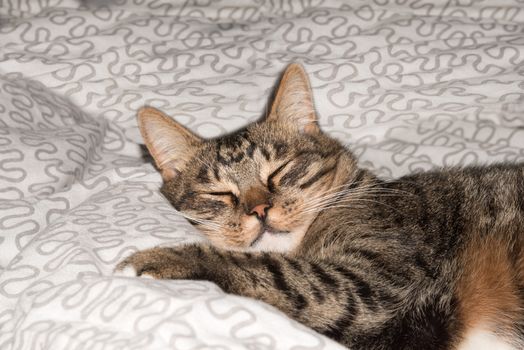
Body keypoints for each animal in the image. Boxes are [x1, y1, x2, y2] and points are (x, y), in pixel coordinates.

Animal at [115, 63, 524, 350]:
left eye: (278, 171)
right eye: (219, 194)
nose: (259, 210)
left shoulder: (368, 288)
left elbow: (269, 270)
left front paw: (158, 258)